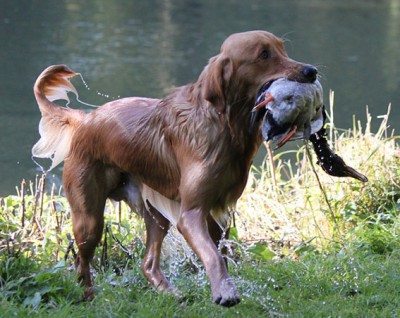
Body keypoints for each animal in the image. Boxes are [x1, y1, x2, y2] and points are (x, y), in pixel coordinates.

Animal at [32, 31, 318, 306]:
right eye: (264, 55)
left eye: (283, 49)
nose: (311, 71)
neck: (224, 125)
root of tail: (85, 120)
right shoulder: (191, 214)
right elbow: (213, 256)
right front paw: (225, 292)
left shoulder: (217, 213)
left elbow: (219, 254)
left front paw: (222, 285)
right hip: (89, 218)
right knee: (81, 262)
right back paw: (89, 297)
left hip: (156, 215)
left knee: (147, 264)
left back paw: (172, 294)